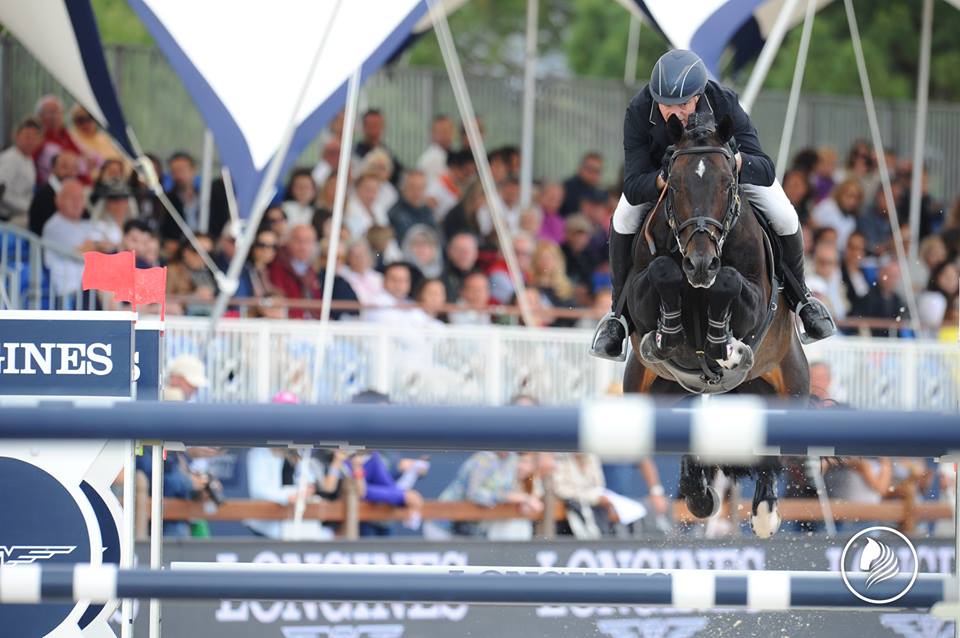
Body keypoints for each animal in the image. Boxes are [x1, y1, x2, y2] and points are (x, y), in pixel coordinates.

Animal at [621, 113, 810, 538]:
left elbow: (728, 282)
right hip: (651, 392)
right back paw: (699, 495)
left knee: (772, 449)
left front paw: (727, 348)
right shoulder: (642, 294)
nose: (700, 264)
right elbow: (662, 270)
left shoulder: (754, 297)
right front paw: (668, 336)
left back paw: (765, 513)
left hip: (790, 382)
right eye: (673, 185)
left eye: (727, 183)